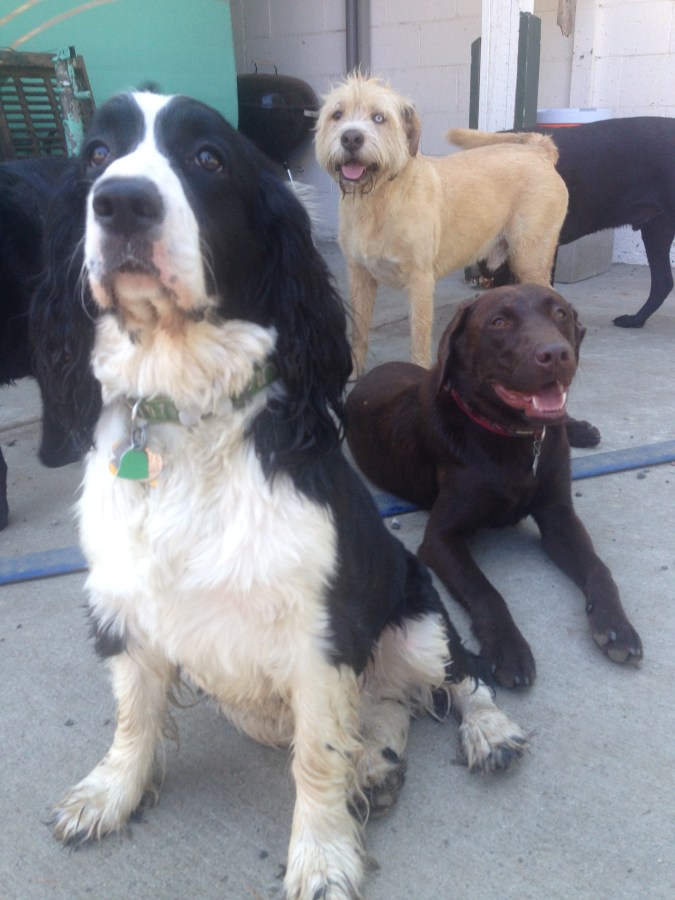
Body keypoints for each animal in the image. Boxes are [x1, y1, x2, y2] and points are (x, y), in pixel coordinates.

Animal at [37, 92, 528, 899]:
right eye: (96, 155)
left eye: (208, 158)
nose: (121, 202)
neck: (190, 417)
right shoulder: (126, 602)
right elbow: (134, 716)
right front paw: (109, 793)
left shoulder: (318, 631)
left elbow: (317, 755)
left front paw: (322, 858)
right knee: (383, 703)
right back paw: (379, 765)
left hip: (417, 615)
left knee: (461, 676)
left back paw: (489, 733)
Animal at [314, 72, 568, 376]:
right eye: (337, 115)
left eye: (379, 118)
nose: (351, 137)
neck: (378, 197)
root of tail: (539, 151)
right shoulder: (359, 276)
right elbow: (359, 331)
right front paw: (353, 373)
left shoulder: (421, 280)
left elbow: (419, 336)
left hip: (530, 259)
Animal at [345, 284, 643, 690]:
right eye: (499, 322)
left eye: (560, 314)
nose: (556, 354)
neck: (515, 437)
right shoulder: (440, 538)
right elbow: (485, 590)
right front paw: (508, 648)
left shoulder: (559, 516)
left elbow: (599, 568)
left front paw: (617, 625)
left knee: (563, 421)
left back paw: (581, 429)